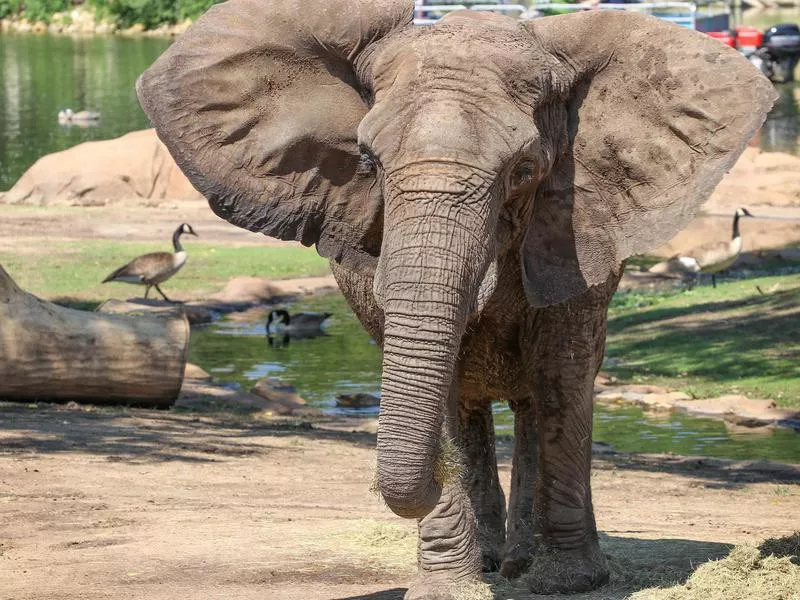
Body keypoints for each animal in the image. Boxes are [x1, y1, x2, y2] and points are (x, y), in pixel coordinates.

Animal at [138, 2, 776, 596]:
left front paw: (567, 583)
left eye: (524, 168)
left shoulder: (578, 227)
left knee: (536, 397)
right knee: (469, 401)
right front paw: (446, 587)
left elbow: (561, 373)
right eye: (367, 162)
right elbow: (437, 383)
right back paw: (493, 560)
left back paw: (520, 563)